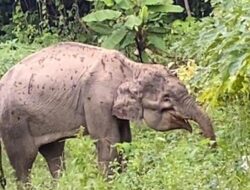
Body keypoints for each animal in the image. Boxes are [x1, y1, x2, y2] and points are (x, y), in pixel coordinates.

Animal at [0, 42, 216, 187]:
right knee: (24, 161)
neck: (130, 68)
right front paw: (109, 183)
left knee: (54, 154)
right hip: (14, 122)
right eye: (166, 99)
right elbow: (108, 141)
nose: (208, 146)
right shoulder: (97, 100)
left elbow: (125, 140)